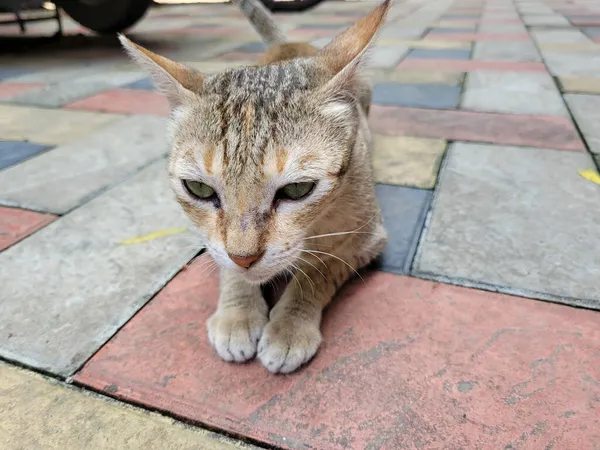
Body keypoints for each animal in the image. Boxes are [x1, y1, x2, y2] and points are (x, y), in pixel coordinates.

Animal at [118, 0, 390, 372]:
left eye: (297, 190)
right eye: (199, 189)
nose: (244, 257)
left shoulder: (366, 239)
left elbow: (319, 269)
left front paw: (290, 325)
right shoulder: (212, 239)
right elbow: (224, 264)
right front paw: (238, 315)